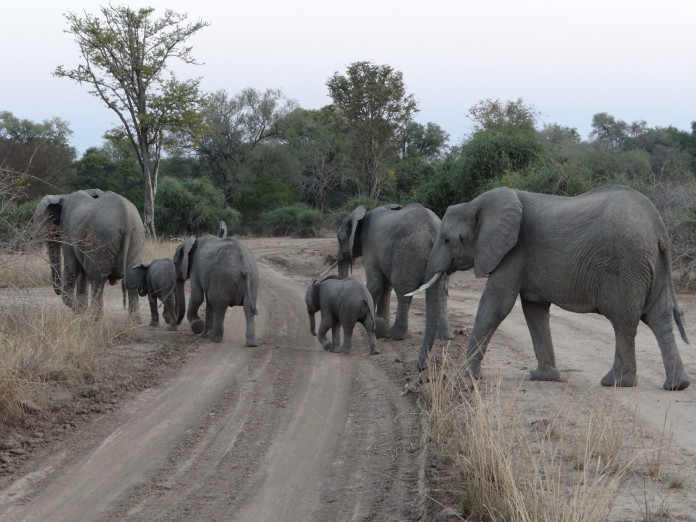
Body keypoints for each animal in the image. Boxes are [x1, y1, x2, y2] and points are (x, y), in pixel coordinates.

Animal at [35, 188, 145, 316]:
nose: (58, 291)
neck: (62, 197)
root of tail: (126, 218)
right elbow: (82, 275)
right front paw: (82, 312)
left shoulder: (68, 232)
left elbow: (72, 269)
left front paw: (81, 313)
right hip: (136, 235)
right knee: (131, 280)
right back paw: (134, 320)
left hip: (102, 240)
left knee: (98, 279)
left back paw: (93, 317)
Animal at [336, 201, 452, 340]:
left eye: (339, 239)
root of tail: (434, 230)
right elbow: (386, 287)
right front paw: (382, 323)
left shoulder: (370, 246)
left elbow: (375, 284)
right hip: (440, 255)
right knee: (441, 292)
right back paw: (444, 337)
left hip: (408, 254)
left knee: (403, 288)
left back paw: (395, 335)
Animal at [414, 185, 692, 388]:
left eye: (447, 240)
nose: (420, 370)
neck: (476, 204)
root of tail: (659, 227)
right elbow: (534, 310)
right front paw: (543, 377)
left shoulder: (513, 251)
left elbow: (496, 306)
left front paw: (464, 374)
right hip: (652, 262)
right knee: (659, 318)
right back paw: (677, 385)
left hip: (628, 264)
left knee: (624, 320)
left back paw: (616, 382)